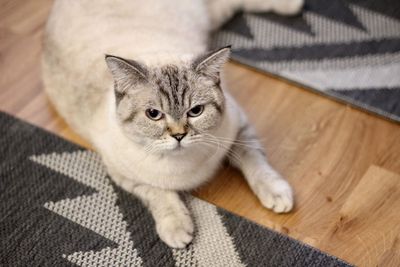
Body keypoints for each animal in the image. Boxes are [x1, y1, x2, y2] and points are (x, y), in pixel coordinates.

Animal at [41, 0, 304, 249]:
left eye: (195, 111)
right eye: (153, 114)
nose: (179, 135)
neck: (182, 166)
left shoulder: (239, 126)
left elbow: (255, 162)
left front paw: (276, 193)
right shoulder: (122, 172)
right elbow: (159, 193)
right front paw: (177, 228)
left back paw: (292, 6)